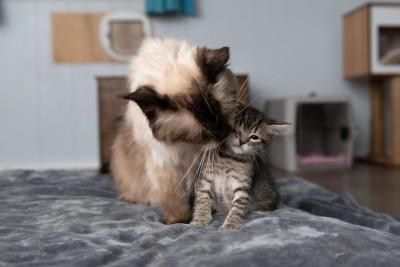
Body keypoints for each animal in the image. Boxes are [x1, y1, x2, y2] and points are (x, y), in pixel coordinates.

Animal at [111, 38, 239, 225]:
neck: (188, 147)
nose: (223, 134)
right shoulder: (165, 163)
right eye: (201, 134)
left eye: (223, 114)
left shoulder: (201, 163)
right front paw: (179, 221)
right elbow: (173, 198)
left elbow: (202, 193)